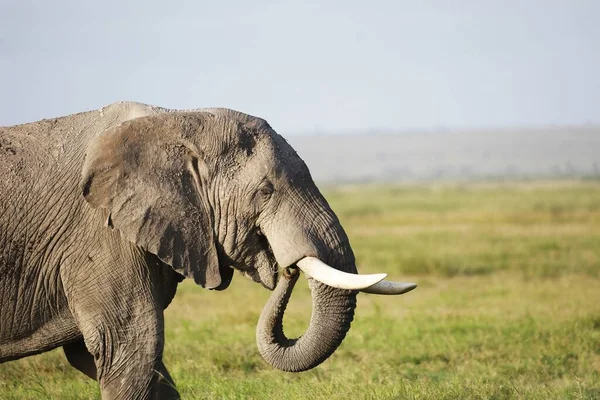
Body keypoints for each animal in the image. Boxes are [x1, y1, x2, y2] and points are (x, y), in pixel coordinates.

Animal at [0, 103, 414, 400]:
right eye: (266, 191)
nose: (289, 268)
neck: (174, 120)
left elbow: (112, 361)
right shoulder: (98, 237)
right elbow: (132, 348)